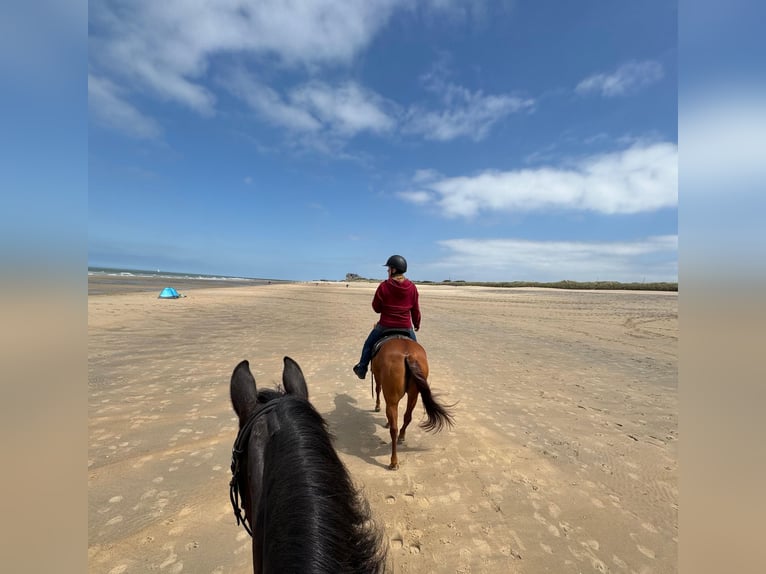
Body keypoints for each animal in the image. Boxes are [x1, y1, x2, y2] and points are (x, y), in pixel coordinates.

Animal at [371, 335, 455, 470]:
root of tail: (408, 355)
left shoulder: (378, 377)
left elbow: (377, 389)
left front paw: (377, 407)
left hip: (392, 397)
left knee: (394, 427)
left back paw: (393, 461)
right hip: (413, 394)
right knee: (407, 417)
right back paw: (401, 436)